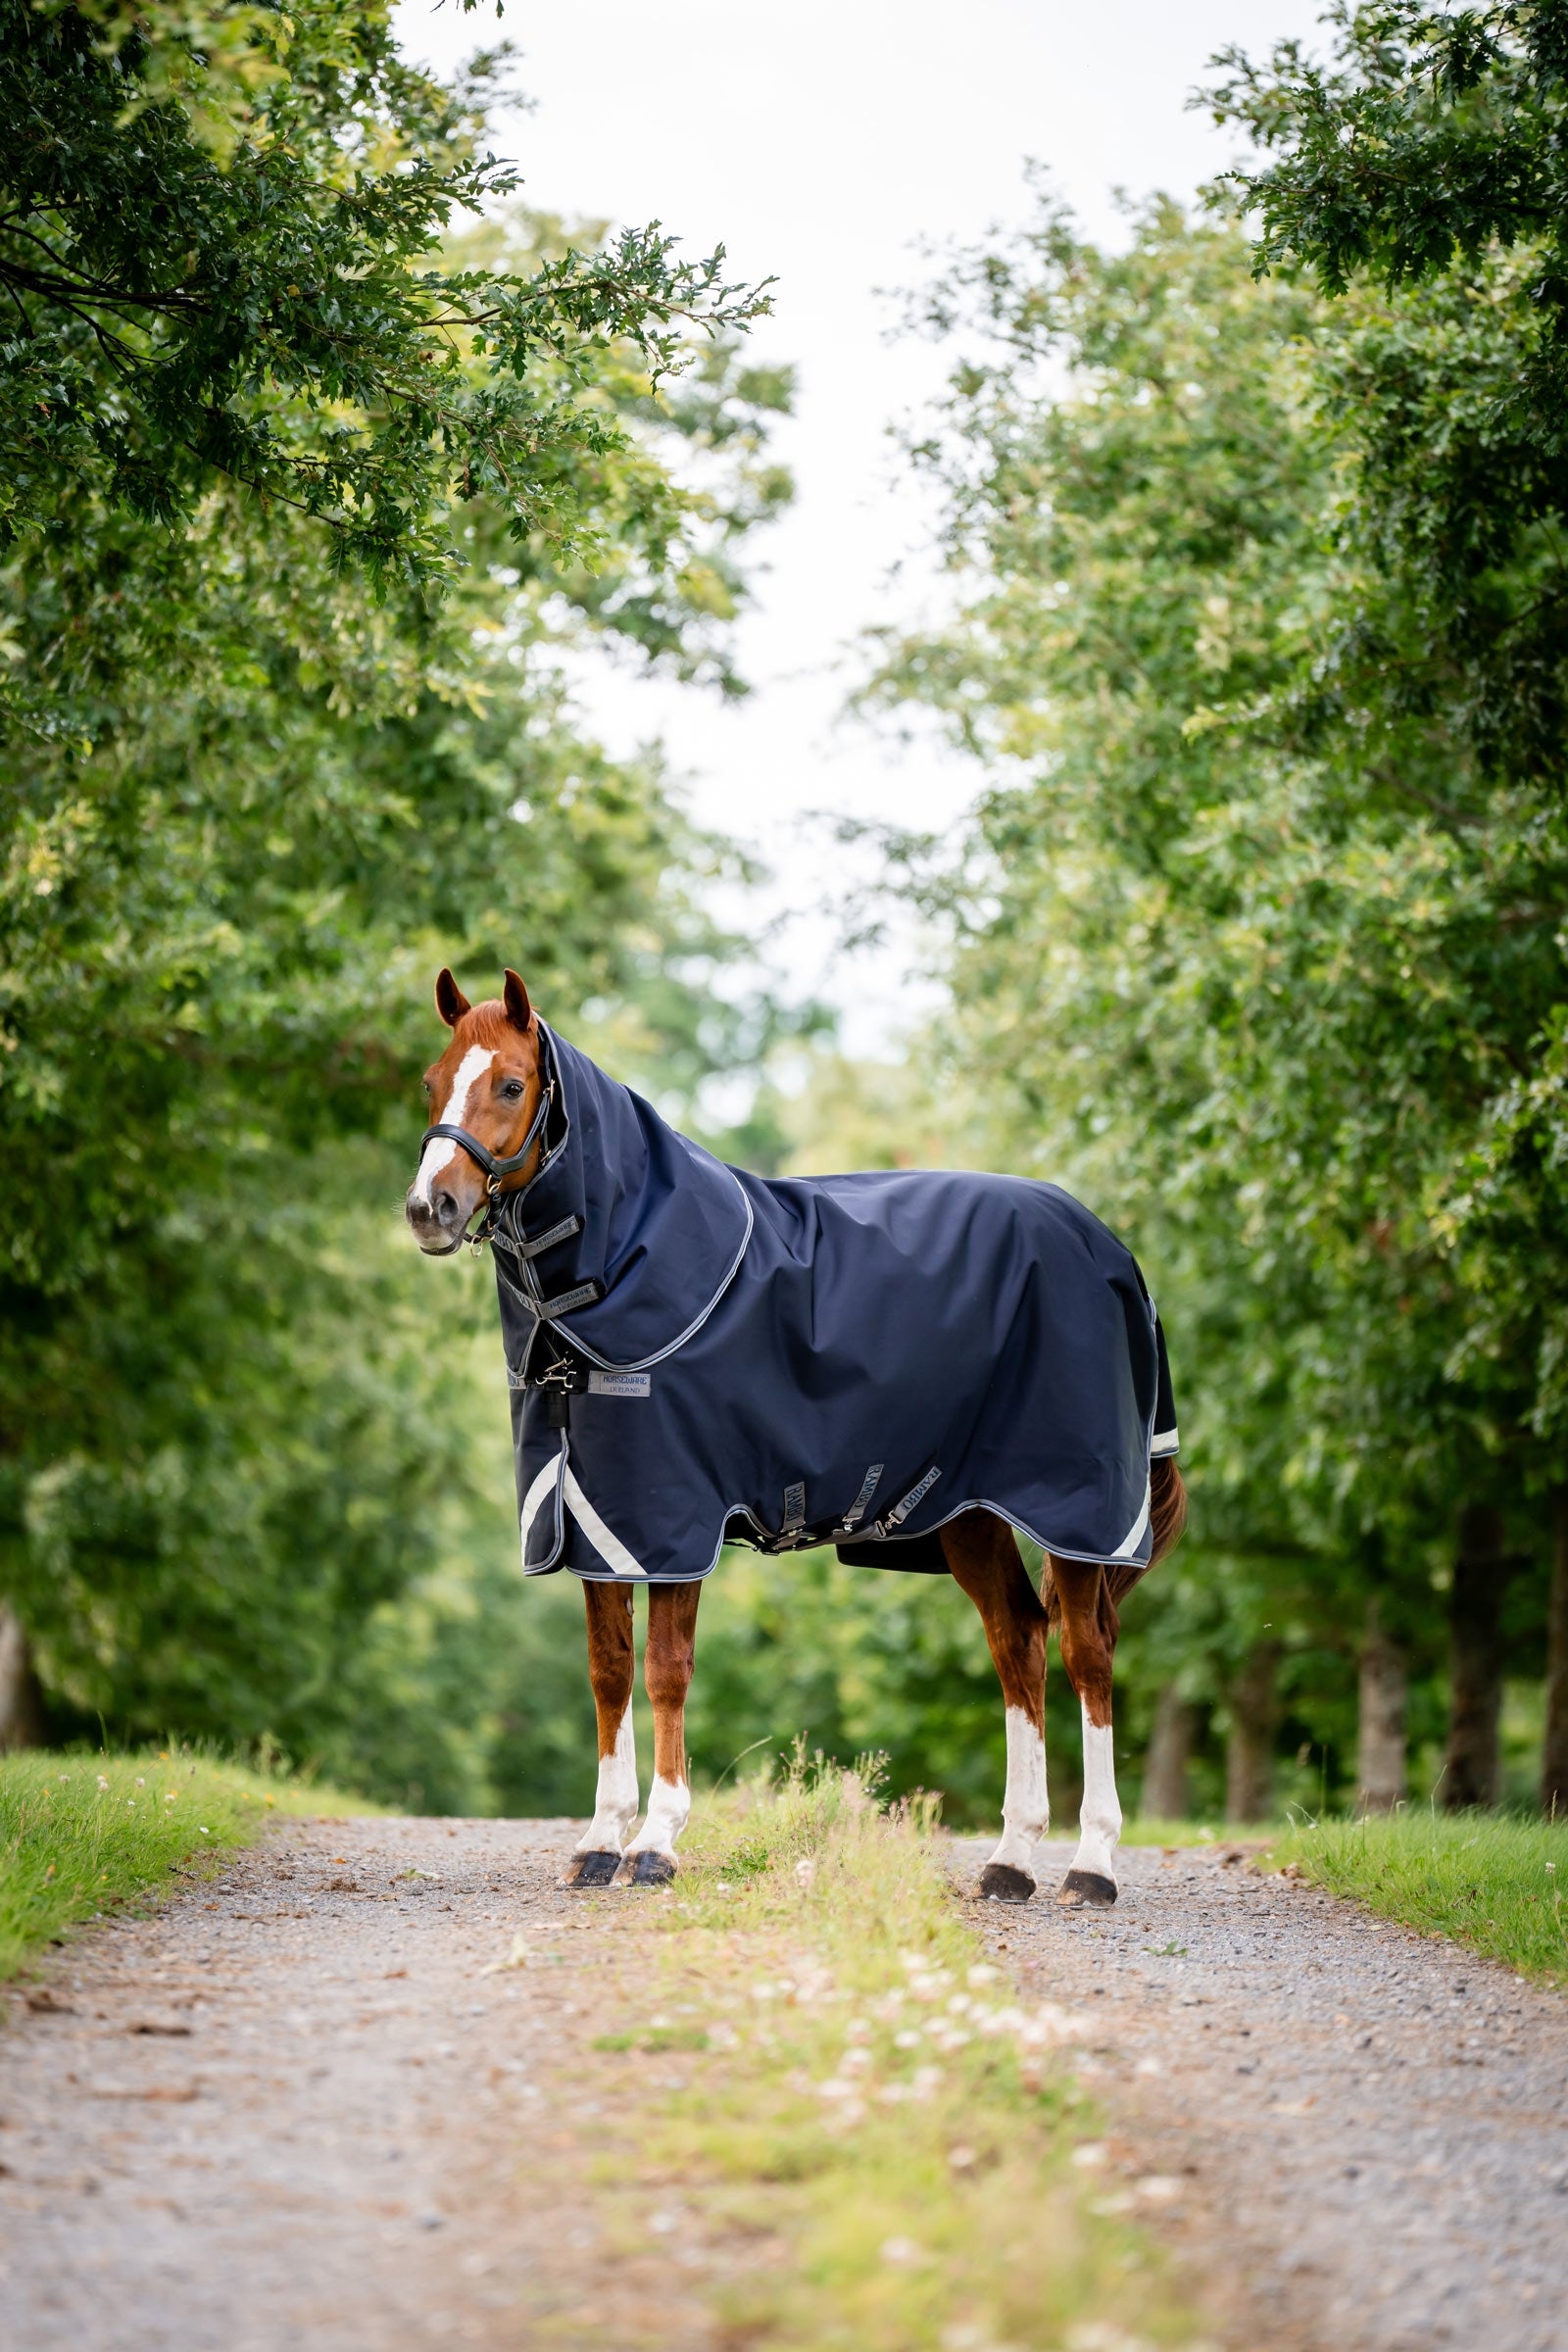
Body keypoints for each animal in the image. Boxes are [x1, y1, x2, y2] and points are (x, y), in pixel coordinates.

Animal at [405, 968, 1187, 1904]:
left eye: (511, 1085)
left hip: (1078, 1511)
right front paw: (598, 1842)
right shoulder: (597, 1518)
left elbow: (665, 1670)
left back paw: (1091, 1865)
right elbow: (609, 1670)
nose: (429, 1208)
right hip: (969, 1514)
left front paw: (656, 1844)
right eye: (431, 1081)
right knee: (1019, 1646)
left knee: (1087, 1655)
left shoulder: (674, 1522)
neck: (621, 1275)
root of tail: (1112, 1249)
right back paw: (1010, 1858)